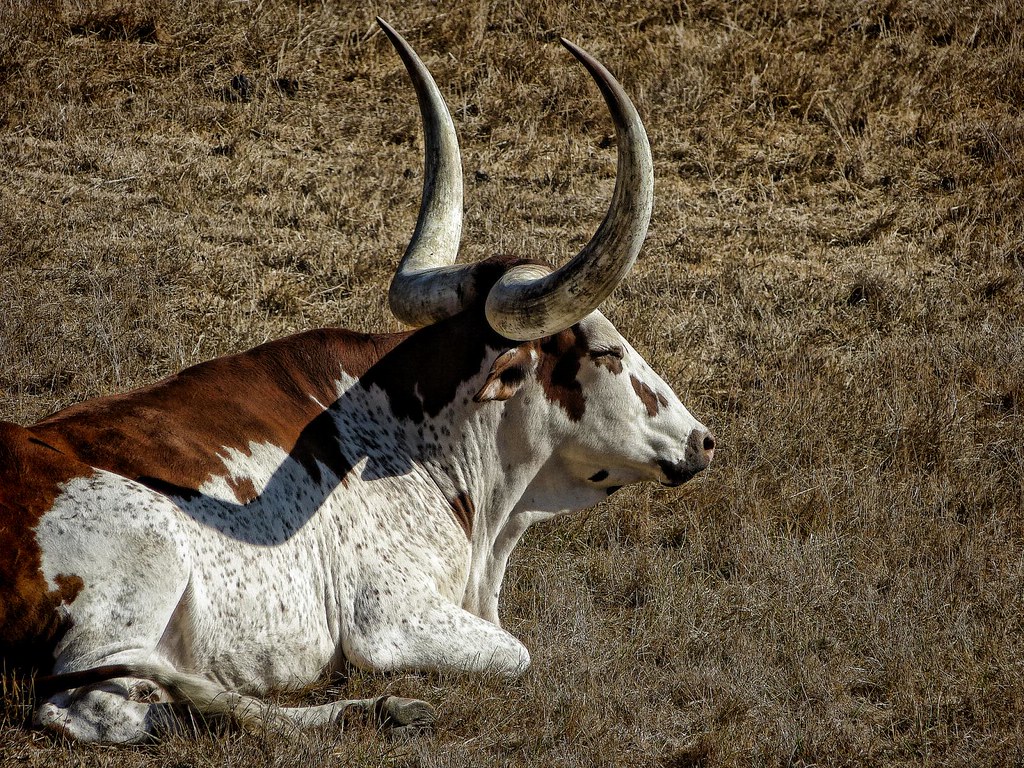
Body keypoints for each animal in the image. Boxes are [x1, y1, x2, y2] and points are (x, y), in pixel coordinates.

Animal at [0, 18, 715, 743]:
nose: (702, 440)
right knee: (94, 704)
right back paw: (375, 708)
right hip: (142, 572)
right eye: (608, 351)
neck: (420, 443)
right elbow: (516, 653)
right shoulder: (392, 620)